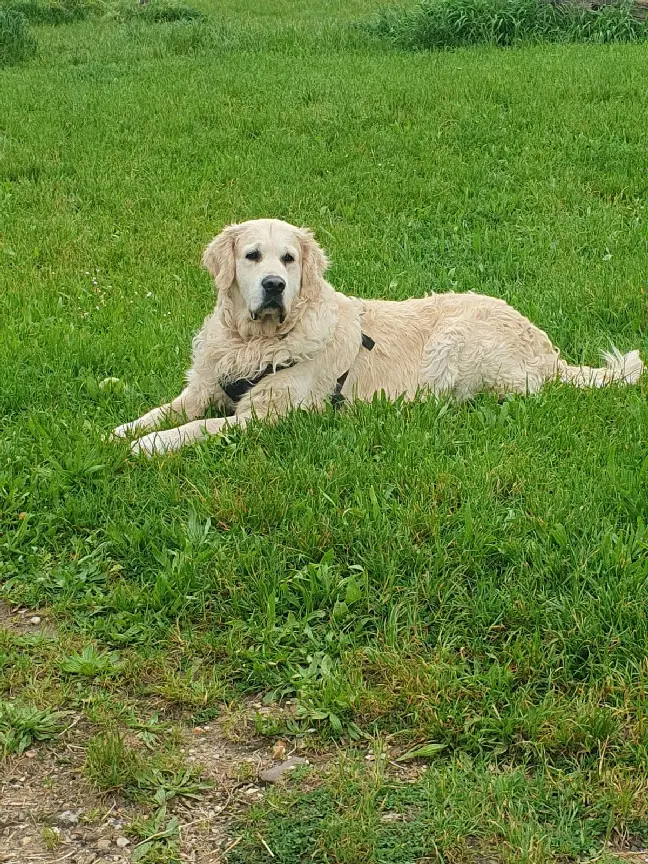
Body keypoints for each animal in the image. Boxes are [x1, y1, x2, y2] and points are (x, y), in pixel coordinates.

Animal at [111, 219, 644, 456]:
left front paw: (149, 445)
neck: (256, 342)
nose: (275, 286)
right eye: (252, 256)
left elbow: (196, 428)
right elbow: (163, 410)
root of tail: (548, 351)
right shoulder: (203, 386)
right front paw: (118, 431)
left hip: (456, 339)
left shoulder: (265, 415)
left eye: (288, 259)